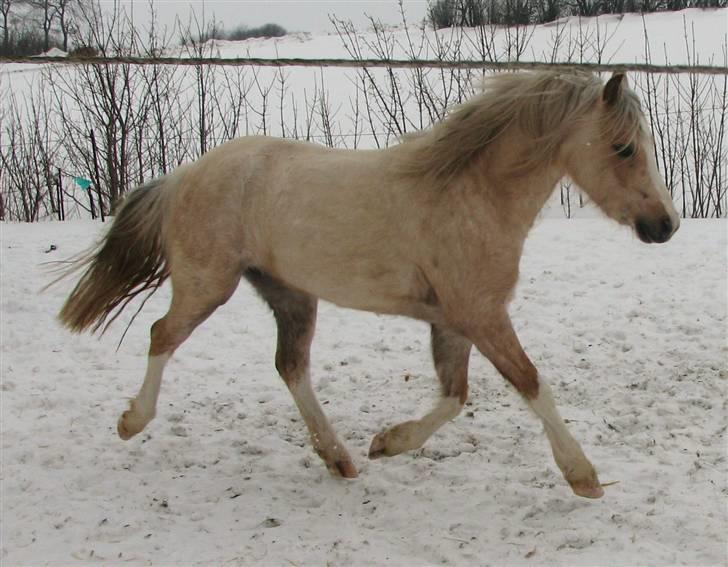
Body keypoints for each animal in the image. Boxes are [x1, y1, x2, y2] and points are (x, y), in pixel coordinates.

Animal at [58, 71, 679, 499]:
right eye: (625, 147)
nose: (666, 225)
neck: (470, 195)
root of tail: (185, 174)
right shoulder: (482, 315)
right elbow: (531, 386)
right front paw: (584, 477)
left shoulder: (456, 322)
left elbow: (455, 397)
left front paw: (388, 444)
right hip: (208, 283)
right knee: (162, 335)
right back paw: (131, 423)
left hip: (290, 294)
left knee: (290, 366)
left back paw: (339, 458)